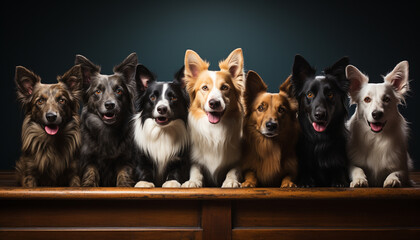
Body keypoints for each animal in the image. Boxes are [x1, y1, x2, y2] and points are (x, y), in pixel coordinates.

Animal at [74, 53, 136, 188]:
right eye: (97, 91)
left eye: (119, 91)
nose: (110, 105)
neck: (107, 131)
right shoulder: (88, 160)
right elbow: (91, 172)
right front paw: (89, 186)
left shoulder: (126, 160)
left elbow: (124, 174)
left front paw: (124, 186)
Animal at [181, 48, 246, 188]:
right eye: (205, 87)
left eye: (225, 87)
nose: (214, 103)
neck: (215, 129)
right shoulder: (194, 158)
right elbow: (196, 169)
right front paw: (193, 181)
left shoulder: (239, 159)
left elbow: (234, 169)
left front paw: (231, 181)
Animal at [290, 54, 350, 188]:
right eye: (310, 94)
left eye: (330, 94)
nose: (320, 115)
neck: (319, 139)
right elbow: (305, 170)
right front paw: (305, 181)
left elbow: (338, 169)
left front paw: (339, 181)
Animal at [346, 60, 412, 188]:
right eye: (367, 99)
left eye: (387, 99)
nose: (377, 114)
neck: (376, 138)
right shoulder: (350, 164)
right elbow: (357, 169)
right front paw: (359, 179)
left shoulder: (404, 171)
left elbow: (396, 173)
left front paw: (392, 180)